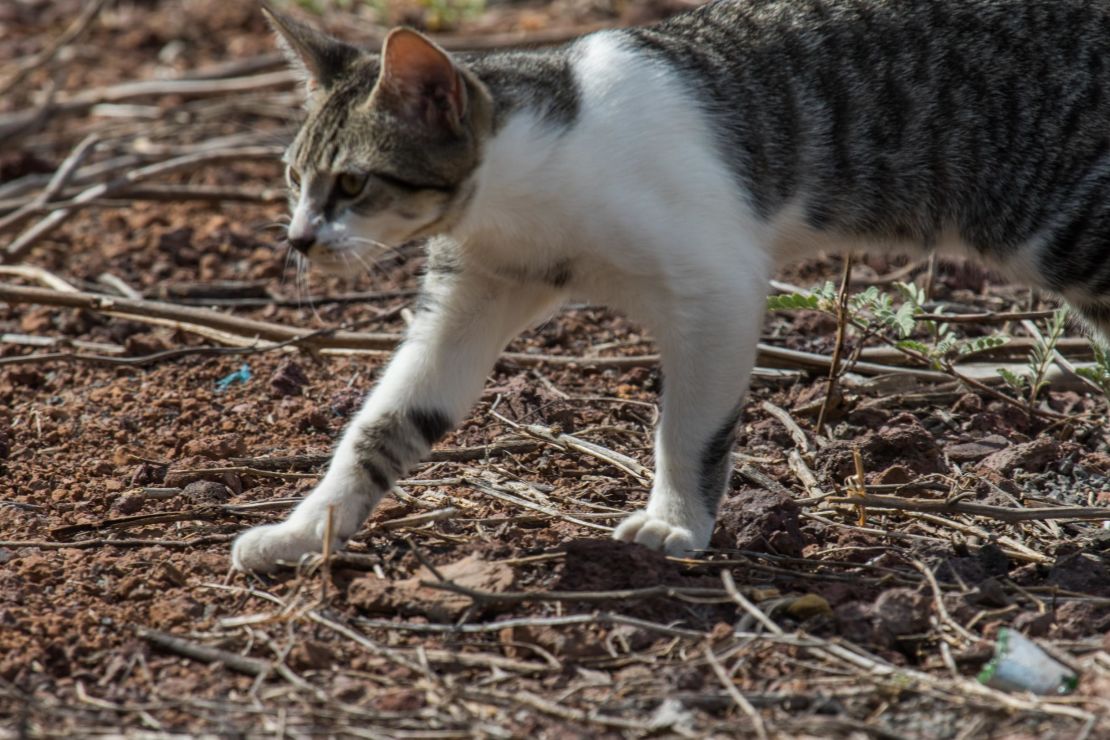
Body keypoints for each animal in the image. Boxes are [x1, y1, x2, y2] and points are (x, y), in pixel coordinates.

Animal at [231, 0, 1110, 572]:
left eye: (352, 184)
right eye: (294, 178)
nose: (298, 239)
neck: (522, 201)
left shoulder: (718, 285)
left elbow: (689, 432)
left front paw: (676, 525)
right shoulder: (472, 292)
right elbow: (383, 425)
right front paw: (306, 532)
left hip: (1075, 230)